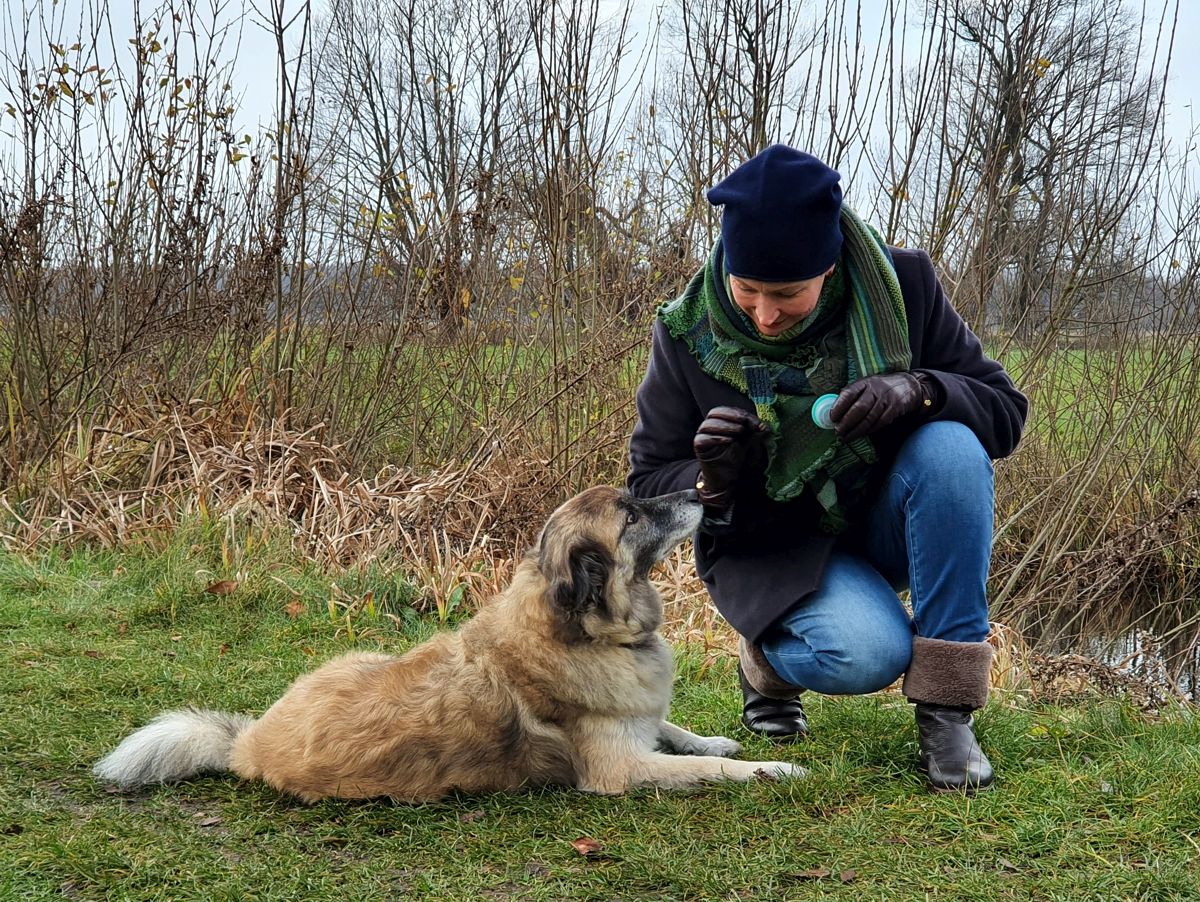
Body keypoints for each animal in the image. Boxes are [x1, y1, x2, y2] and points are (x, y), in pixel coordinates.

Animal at [96, 489, 806, 801]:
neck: (589, 635)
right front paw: (771, 769)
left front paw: (713, 737)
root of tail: (246, 744)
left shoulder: (641, 721)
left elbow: (675, 729)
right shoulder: (619, 771)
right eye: (631, 514)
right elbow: (703, 769)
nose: (700, 492)